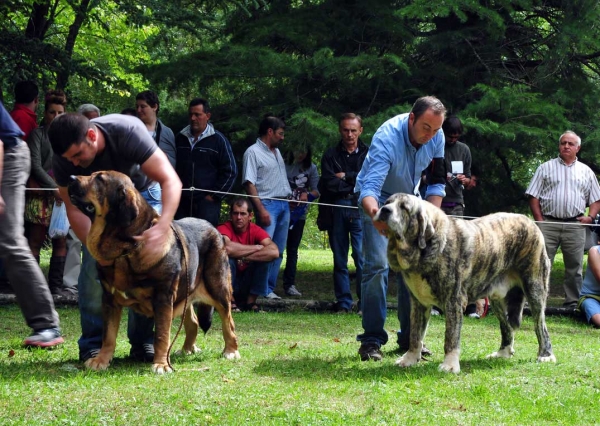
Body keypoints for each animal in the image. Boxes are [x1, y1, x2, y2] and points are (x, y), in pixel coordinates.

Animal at [68, 170, 241, 372]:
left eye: (99, 179)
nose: (70, 178)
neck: (126, 249)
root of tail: (214, 228)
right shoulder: (109, 299)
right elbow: (108, 334)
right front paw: (101, 360)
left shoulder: (163, 298)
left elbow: (161, 335)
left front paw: (161, 365)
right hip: (186, 293)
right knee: (193, 322)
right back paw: (187, 349)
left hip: (218, 289)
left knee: (228, 323)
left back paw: (231, 351)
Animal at [376, 193, 556, 372]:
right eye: (387, 202)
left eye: (404, 207)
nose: (384, 210)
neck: (423, 248)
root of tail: (529, 221)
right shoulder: (419, 303)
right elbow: (415, 334)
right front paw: (410, 358)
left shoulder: (453, 302)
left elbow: (451, 337)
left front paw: (449, 365)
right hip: (497, 300)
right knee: (507, 327)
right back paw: (503, 353)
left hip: (535, 289)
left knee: (541, 326)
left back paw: (546, 355)